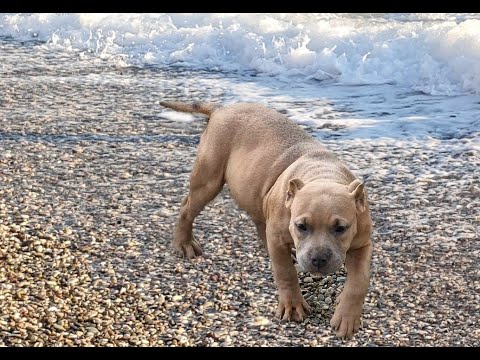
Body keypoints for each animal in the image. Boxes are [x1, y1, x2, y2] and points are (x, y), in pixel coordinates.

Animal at [159, 101, 374, 340]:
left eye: (341, 228)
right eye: (301, 226)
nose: (318, 259)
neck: (323, 174)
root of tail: (221, 109)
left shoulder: (363, 244)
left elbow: (359, 281)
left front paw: (347, 317)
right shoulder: (279, 240)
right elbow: (285, 272)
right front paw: (293, 305)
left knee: (259, 222)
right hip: (208, 179)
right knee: (187, 208)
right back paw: (184, 243)